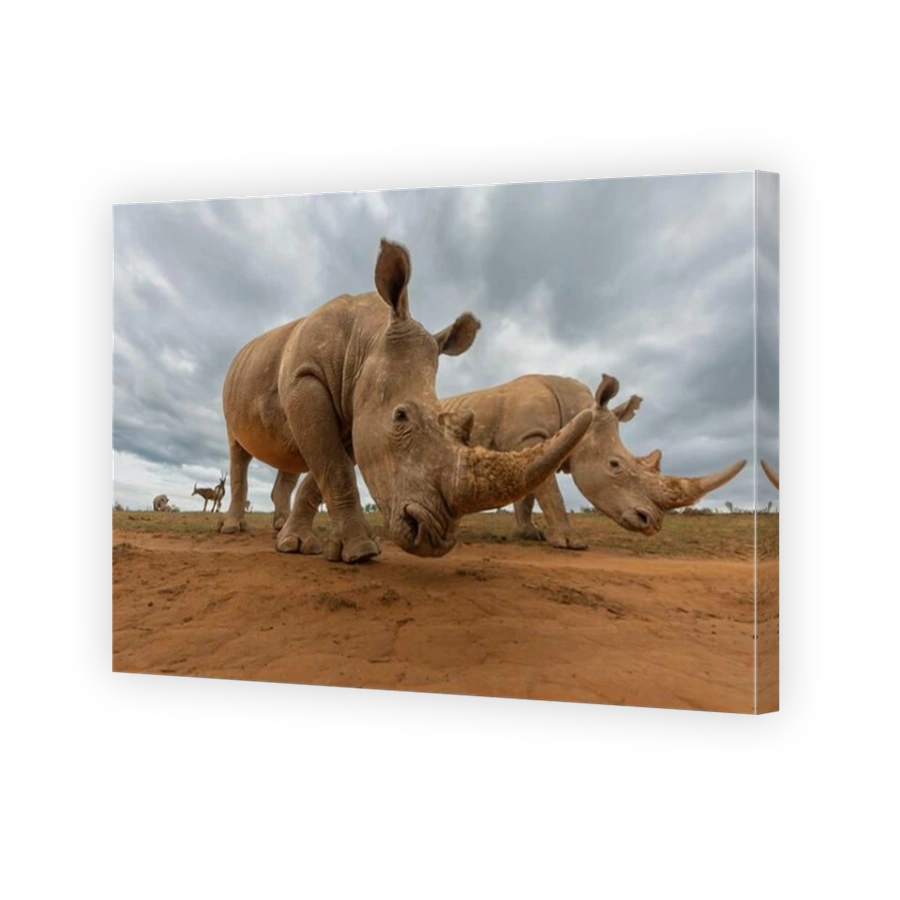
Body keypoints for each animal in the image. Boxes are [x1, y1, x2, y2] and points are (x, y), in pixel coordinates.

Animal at [218, 239, 592, 562]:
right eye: (400, 416)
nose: (433, 539)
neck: (364, 342)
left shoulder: (357, 409)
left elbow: (324, 469)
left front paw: (313, 546)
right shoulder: (305, 378)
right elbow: (333, 465)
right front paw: (361, 551)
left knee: (290, 460)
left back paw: (280, 528)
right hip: (235, 383)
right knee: (238, 452)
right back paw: (232, 529)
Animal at [438, 373, 747, 549]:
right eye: (614, 465)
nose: (652, 523)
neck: (577, 410)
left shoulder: (533, 443)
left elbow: (529, 494)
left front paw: (530, 535)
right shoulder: (530, 436)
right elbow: (550, 493)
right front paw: (572, 544)